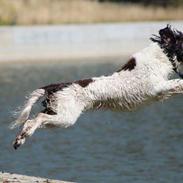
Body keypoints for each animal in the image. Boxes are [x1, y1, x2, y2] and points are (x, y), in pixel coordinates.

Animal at [12, 25, 183, 149]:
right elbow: (179, 83)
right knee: (38, 118)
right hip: (66, 117)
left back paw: (20, 139)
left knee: (31, 120)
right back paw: (22, 137)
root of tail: (58, 85)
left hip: (57, 111)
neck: (163, 55)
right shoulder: (157, 87)